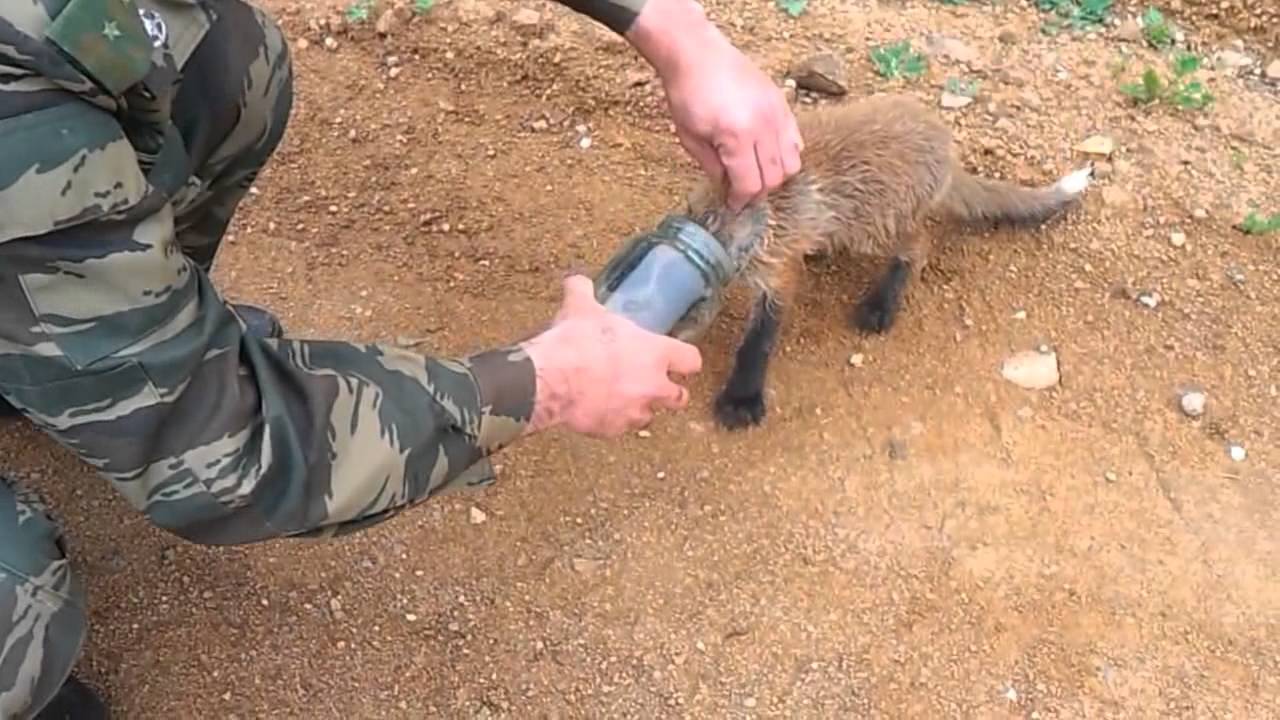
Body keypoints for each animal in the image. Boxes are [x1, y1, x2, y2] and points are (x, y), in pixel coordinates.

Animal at [673, 93, 1095, 431]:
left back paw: (881, 304)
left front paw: (742, 397)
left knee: (918, 247)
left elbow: (758, 342)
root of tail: (946, 148)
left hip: (871, 229)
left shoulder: (779, 271)